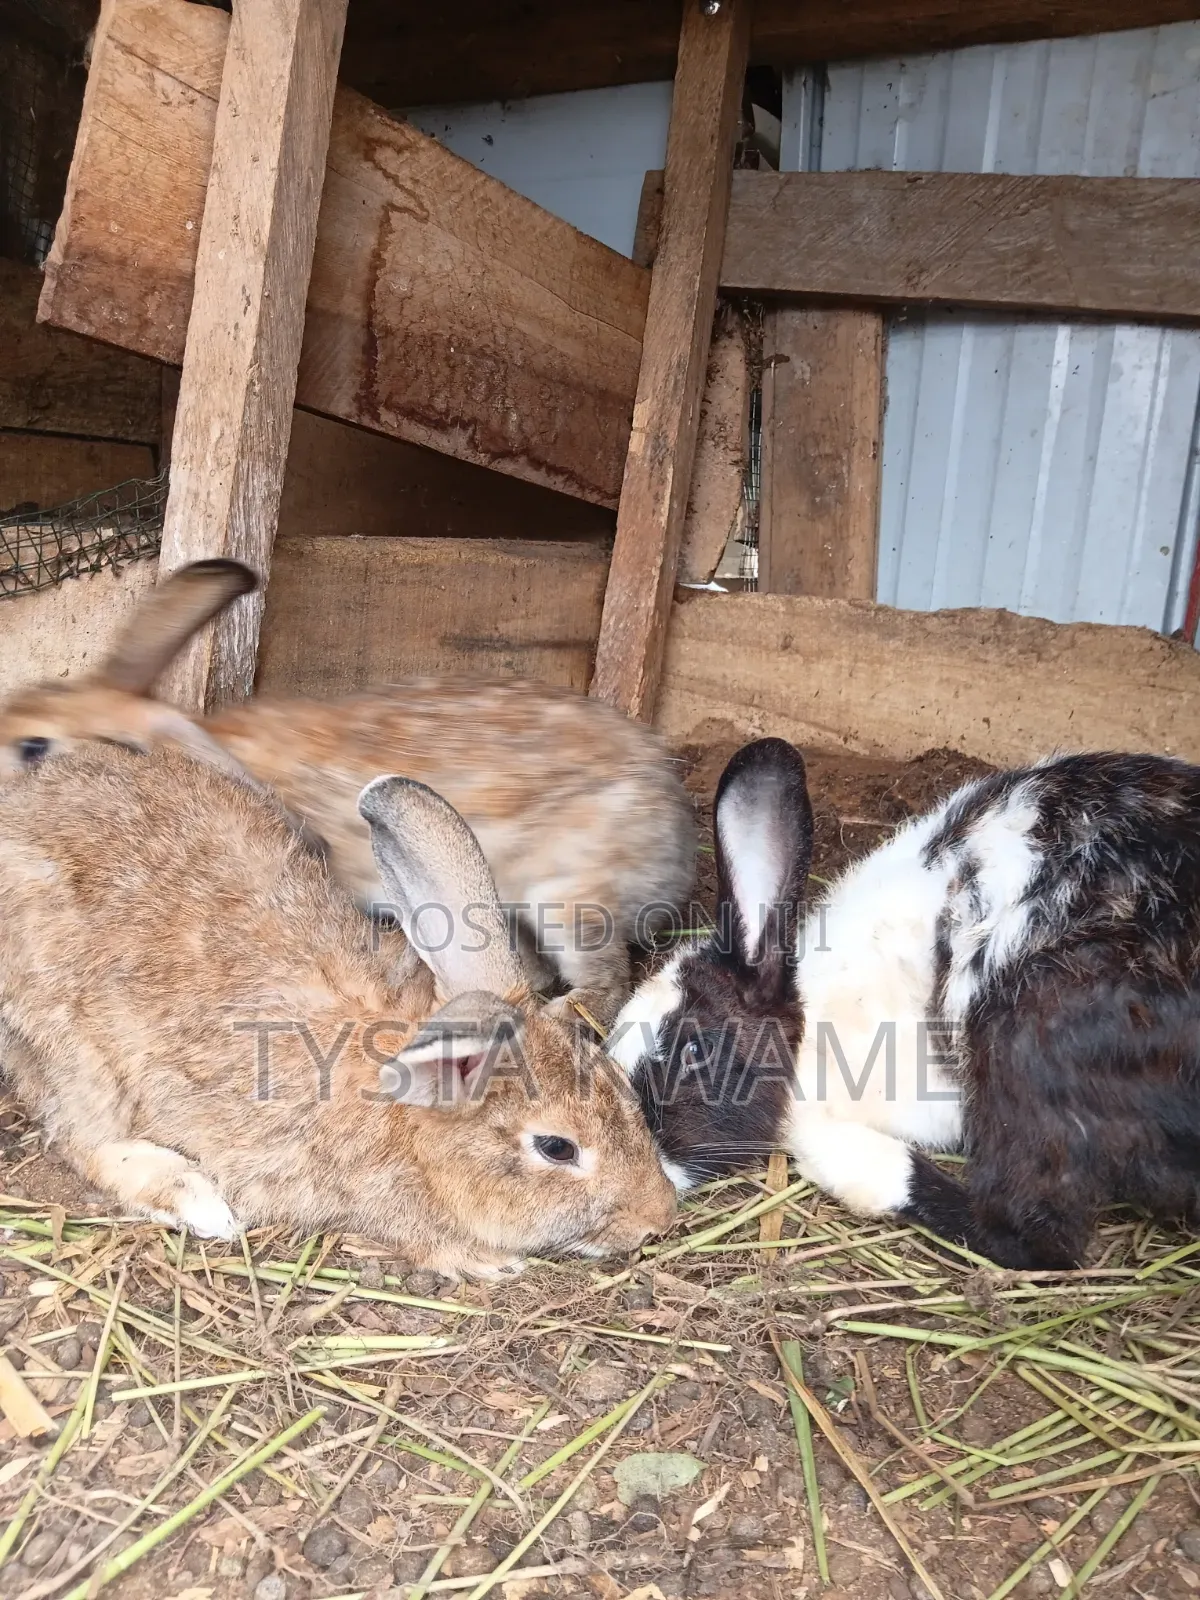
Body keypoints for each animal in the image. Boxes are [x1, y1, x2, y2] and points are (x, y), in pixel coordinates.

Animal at [0, 742, 677, 1278]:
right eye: (557, 1148)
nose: (659, 1216)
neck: (409, 1116)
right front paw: (485, 1261)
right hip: (78, 1052)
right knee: (83, 1138)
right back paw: (196, 1199)